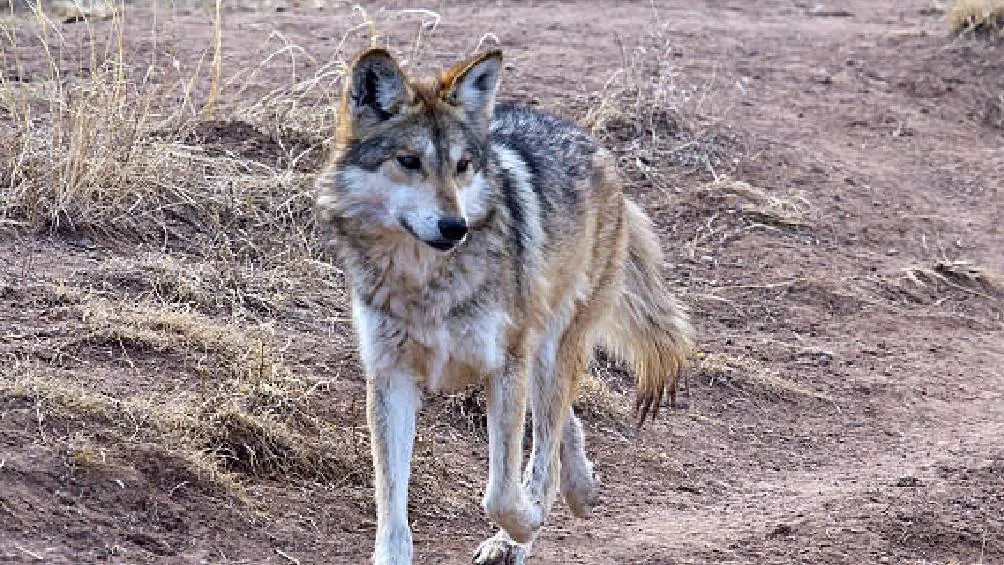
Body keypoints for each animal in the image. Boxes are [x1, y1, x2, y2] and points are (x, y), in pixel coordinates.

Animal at [315, 47, 693, 565]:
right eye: (409, 161)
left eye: (462, 165)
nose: (455, 227)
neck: (426, 282)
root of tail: (593, 144)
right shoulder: (391, 376)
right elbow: (392, 513)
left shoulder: (504, 366)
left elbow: (500, 493)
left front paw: (526, 523)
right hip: (537, 356)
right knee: (561, 424)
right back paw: (581, 487)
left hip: (549, 347)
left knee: (547, 440)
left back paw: (528, 526)